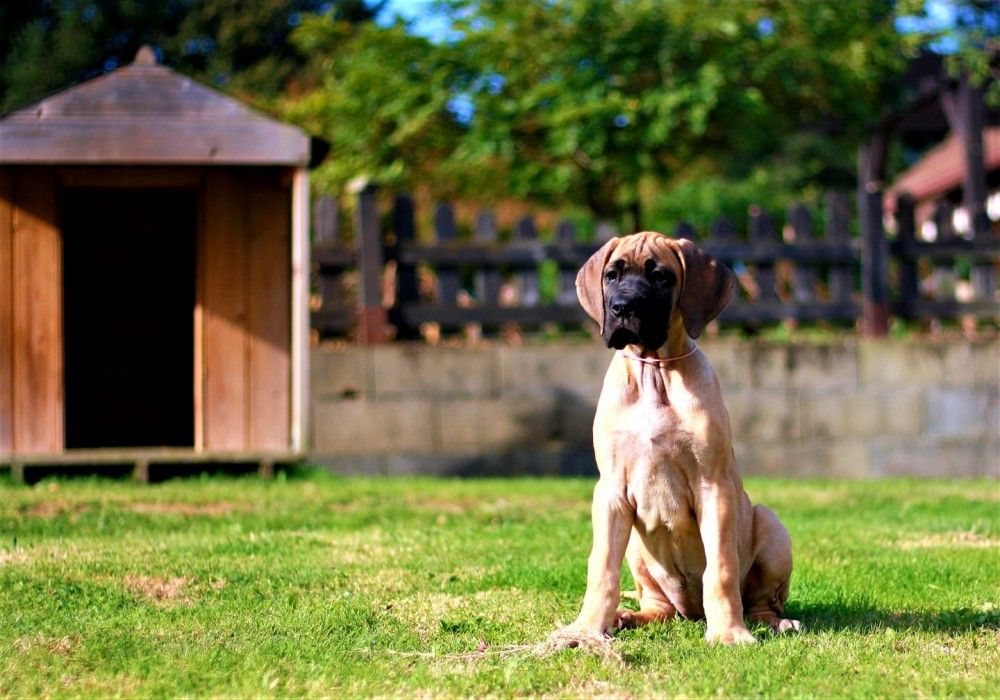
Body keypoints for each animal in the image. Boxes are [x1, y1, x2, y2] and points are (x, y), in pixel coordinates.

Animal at [550, 231, 799, 647]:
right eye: (612, 275)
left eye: (661, 277)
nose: (621, 308)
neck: (655, 373)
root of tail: (691, 612)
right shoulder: (610, 492)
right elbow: (601, 569)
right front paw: (585, 629)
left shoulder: (714, 487)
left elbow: (721, 569)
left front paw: (729, 632)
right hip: (638, 550)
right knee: (659, 607)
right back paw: (627, 617)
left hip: (771, 525)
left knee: (763, 602)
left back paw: (773, 623)